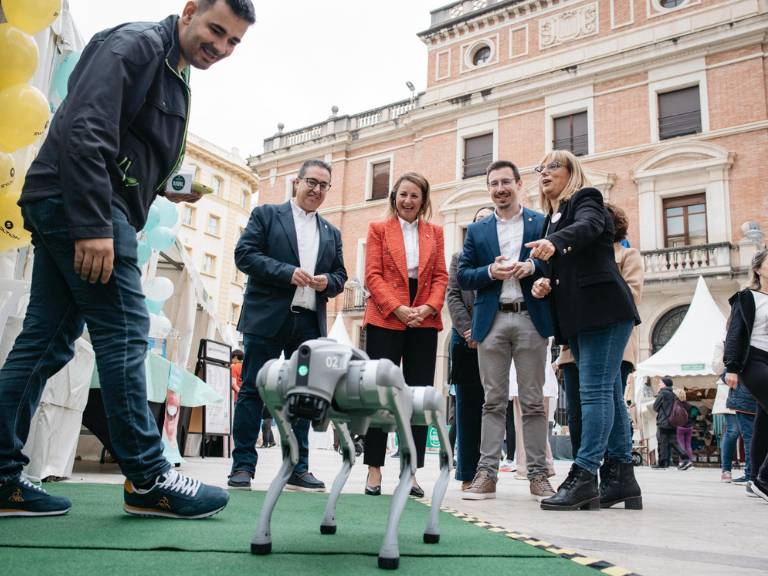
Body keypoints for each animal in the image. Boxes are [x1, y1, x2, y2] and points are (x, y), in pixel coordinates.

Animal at [249, 340, 452, 568]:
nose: (306, 410)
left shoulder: (390, 385)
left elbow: (412, 462)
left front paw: (389, 552)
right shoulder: (272, 383)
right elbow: (290, 455)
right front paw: (261, 538)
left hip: (426, 407)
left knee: (445, 457)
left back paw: (432, 531)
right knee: (349, 455)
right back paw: (328, 521)